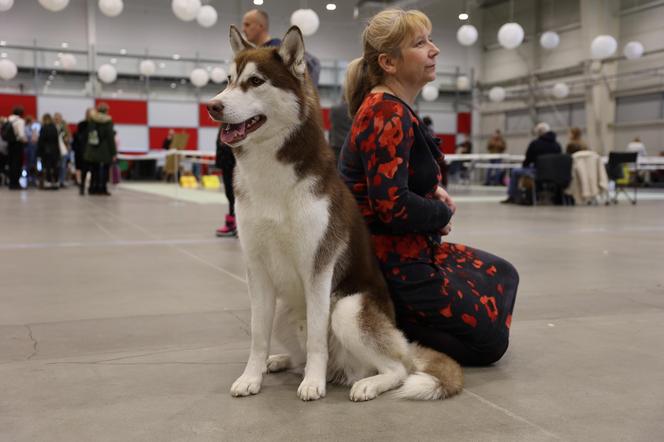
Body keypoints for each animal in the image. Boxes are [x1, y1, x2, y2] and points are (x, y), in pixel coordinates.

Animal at [208, 25, 462, 402]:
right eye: (228, 80)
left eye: (255, 81)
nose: (213, 106)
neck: (270, 173)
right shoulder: (256, 267)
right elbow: (257, 334)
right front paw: (251, 376)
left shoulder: (318, 267)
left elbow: (316, 338)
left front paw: (313, 383)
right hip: (285, 311)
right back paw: (279, 361)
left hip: (347, 309)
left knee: (397, 369)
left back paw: (364, 383)